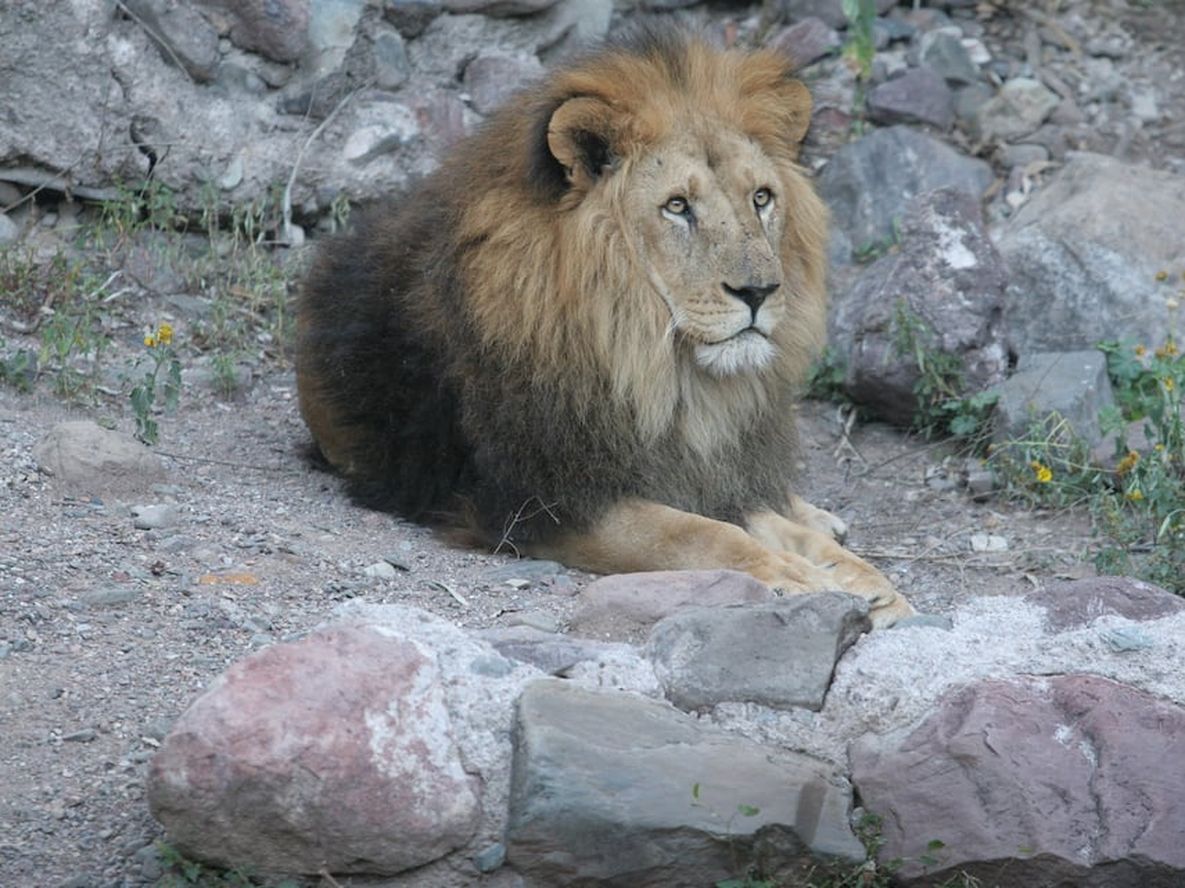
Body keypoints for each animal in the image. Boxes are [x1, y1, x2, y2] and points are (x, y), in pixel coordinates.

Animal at [296, 26, 915, 626]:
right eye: (677, 206)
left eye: (761, 198)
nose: (760, 292)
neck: (658, 369)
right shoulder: (543, 500)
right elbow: (696, 533)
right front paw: (796, 576)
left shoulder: (698, 467)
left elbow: (766, 521)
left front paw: (862, 580)